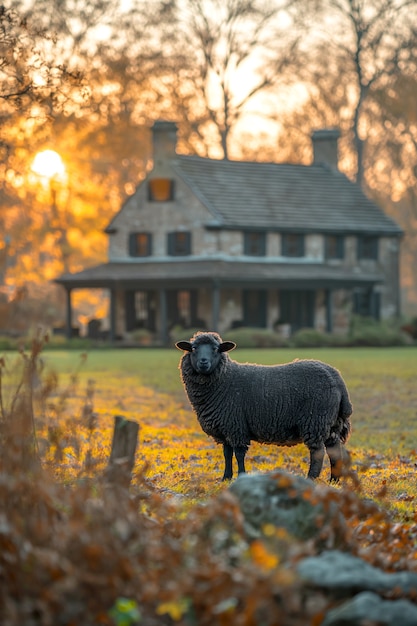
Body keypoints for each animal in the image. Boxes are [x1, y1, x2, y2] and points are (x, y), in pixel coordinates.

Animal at [175, 330, 352, 480]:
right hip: (331, 423)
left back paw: (312, 479)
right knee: (334, 450)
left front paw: (241, 476)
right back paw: (334, 480)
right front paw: (226, 478)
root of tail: (336, 376)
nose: (203, 362)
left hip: (315, 420)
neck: (225, 378)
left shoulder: (236, 425)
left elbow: (239, 454)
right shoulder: (225, 427)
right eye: (194, 348)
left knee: (318, 452)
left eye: (215, 349)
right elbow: (227, 453)